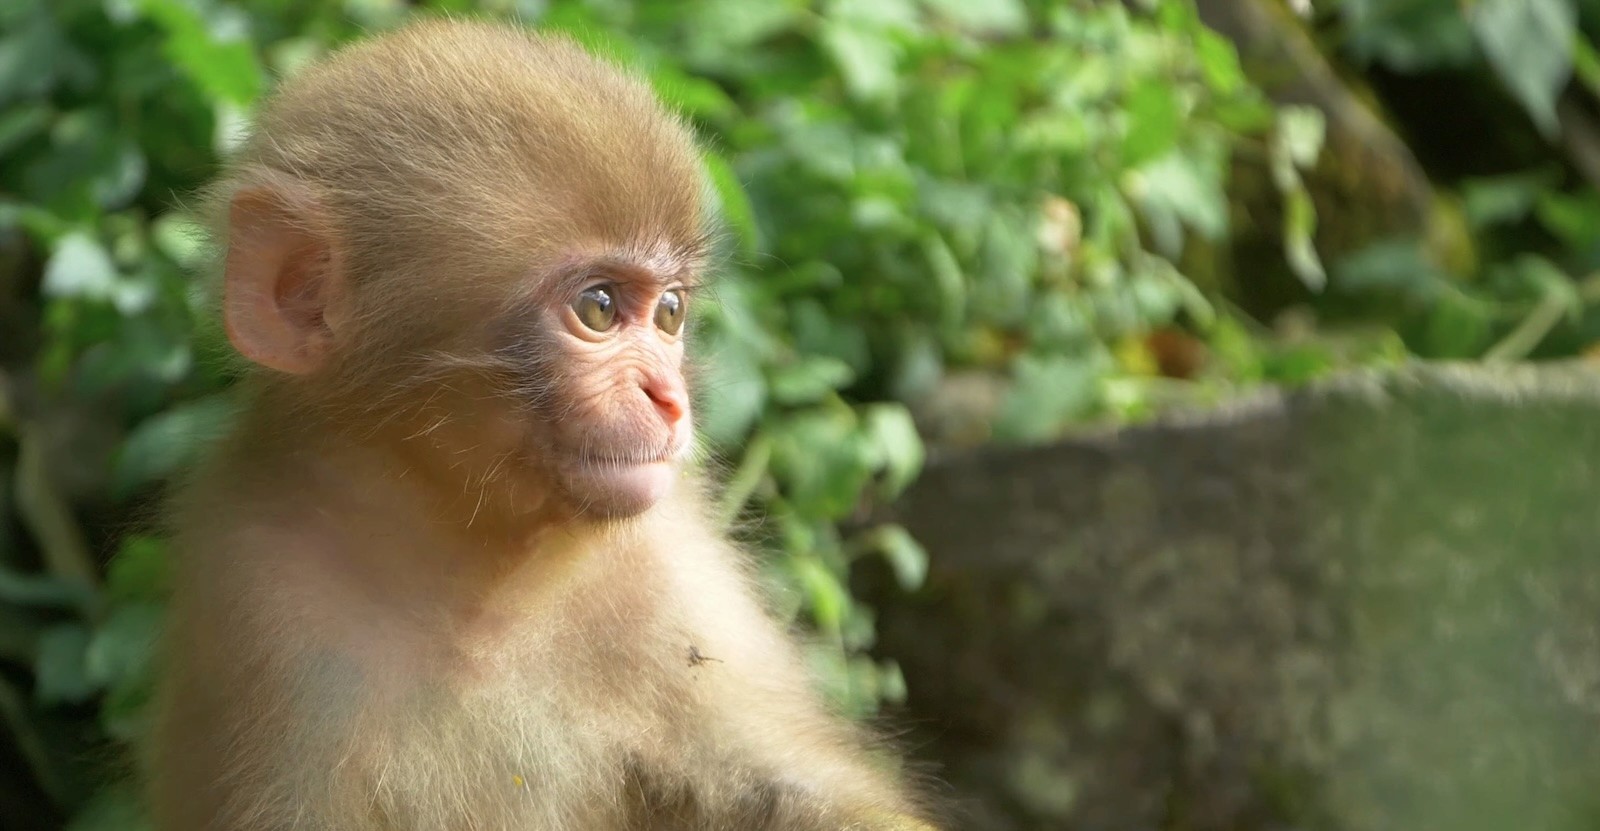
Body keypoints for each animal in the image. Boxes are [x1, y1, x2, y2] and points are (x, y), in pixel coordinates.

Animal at [141, 16, 936, 831]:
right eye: (599, 307)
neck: (477, 584)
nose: (668, 397)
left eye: (670, 312)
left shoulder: (677, 561)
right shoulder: (261, 596)